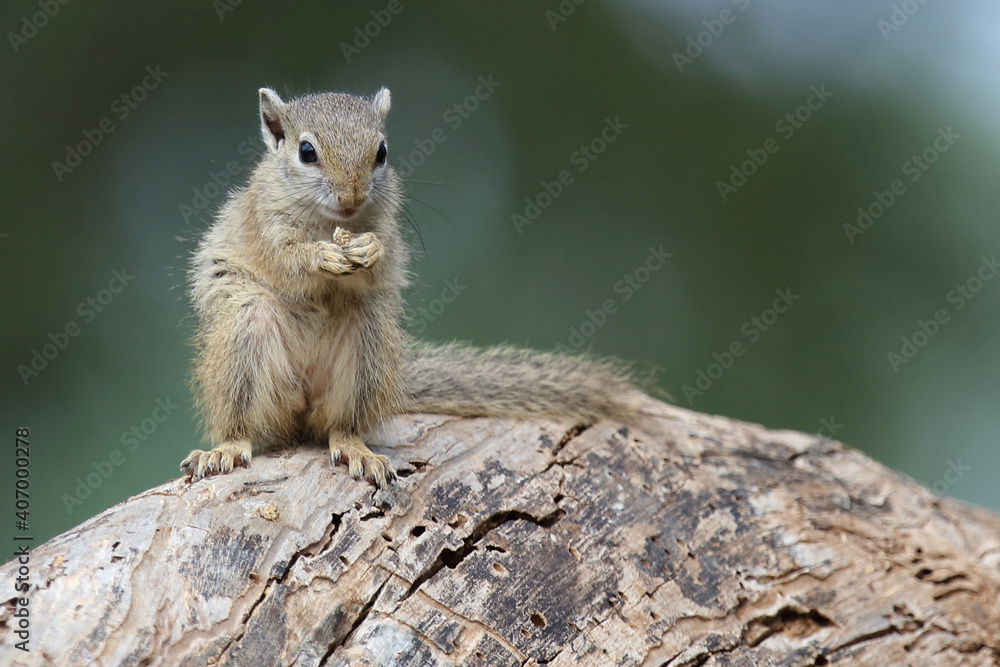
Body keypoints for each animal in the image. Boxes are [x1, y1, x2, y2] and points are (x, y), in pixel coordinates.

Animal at [180, 87, 642, 488]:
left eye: (382, 152)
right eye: (306, 151)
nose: (352, 196)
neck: (332, 223)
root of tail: (303, 401)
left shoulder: (388, 226)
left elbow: (383, 260)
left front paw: (370, 250)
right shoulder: (264, 223)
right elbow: (285, 258)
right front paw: (319, 257)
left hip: (367, 344)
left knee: (340, 425)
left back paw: (355, 447)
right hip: (244, 334)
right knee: (243, 420)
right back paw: (227, 447)